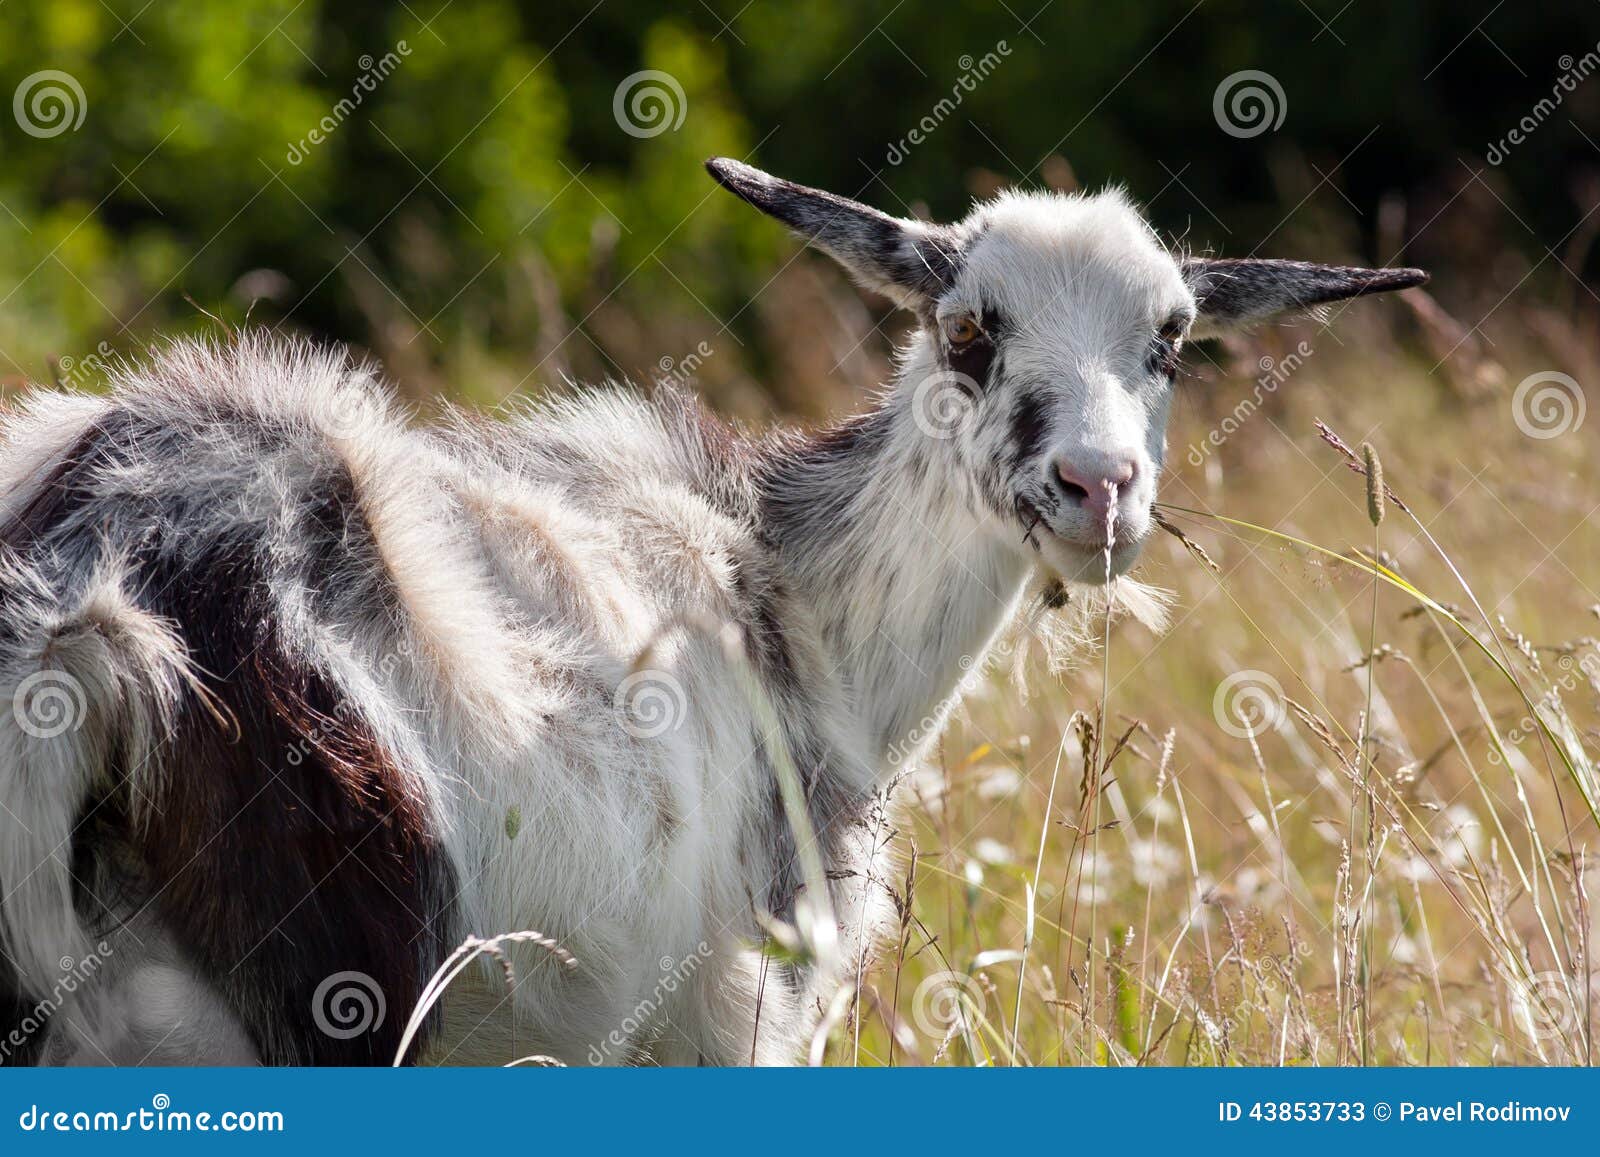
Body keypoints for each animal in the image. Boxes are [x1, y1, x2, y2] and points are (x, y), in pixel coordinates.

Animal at [0, 158, 1424, 1066]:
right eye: (969, 327)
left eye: (1169, 340)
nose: (1099, 488)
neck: (784, 588)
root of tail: (88, 605)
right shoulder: (739, 1013)